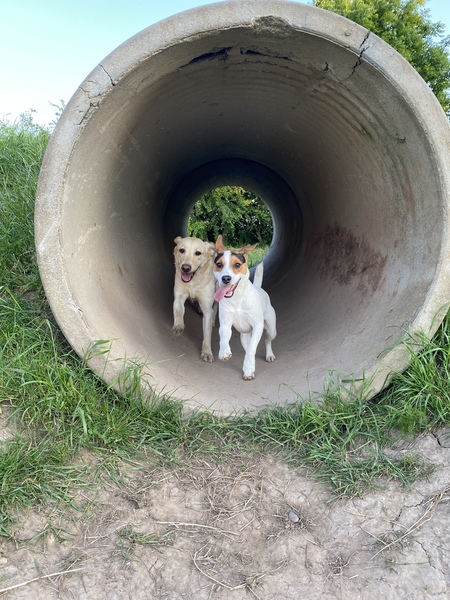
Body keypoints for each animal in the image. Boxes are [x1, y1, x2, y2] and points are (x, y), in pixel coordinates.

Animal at [213, 235, 276, 380]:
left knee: (266, 341)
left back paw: (269, 355)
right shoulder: (225, 324)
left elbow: (252, 349)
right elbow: (224, 338)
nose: (226, 278)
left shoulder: (258, 326)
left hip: (271, 329)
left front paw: (248, 367)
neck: (237, 299)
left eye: (237, 264)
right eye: (219, 264)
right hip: (244, 335)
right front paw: (224, 352)